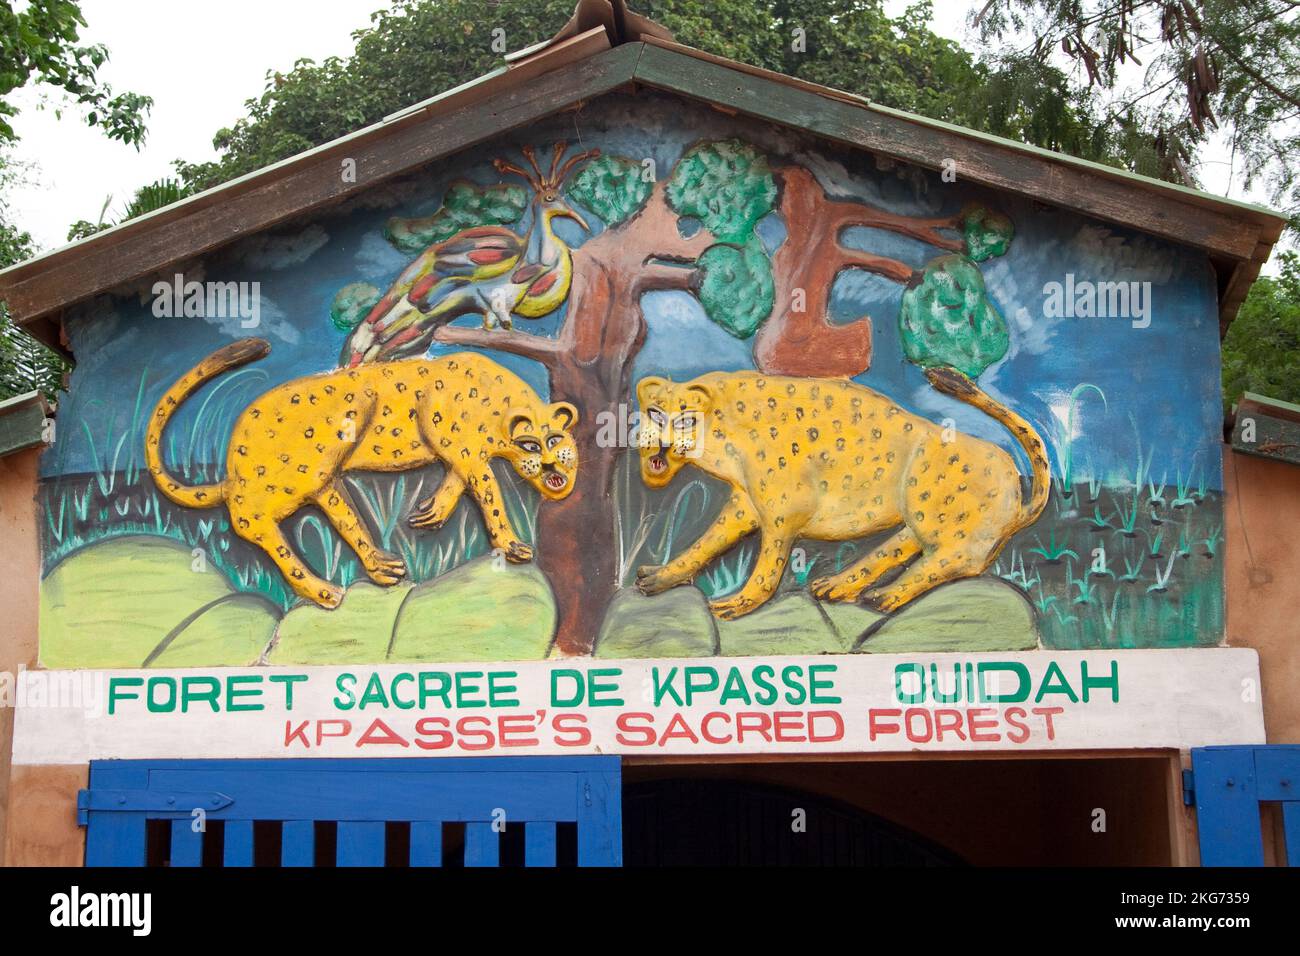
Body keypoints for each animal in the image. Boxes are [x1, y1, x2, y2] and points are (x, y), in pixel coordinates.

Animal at [144, 338, 577, 606]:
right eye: (532, 445)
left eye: (556, 440)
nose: (552, 466)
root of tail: (234, 461)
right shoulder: (460, 443)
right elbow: (491, 495)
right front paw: (513, 545)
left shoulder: (463, 454)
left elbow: (462, 481)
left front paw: (431, 513)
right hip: (337, 423)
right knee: (250, 522)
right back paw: (325, 592)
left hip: (323, 480)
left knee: (341, 517)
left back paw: (379, 566)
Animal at [634, 366, 1050, 621]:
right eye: (655, 413)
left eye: (685, 419)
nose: (661, 444)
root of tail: (1017, 484)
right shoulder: (746, 504)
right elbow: (705, 543)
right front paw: (659, 577)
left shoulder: (785, 509)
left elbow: (767, 567)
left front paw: (736, 604)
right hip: (921, 519)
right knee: (902, 548)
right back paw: (838, 586)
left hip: (935, 508)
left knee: (951, 560)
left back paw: (884, 596)